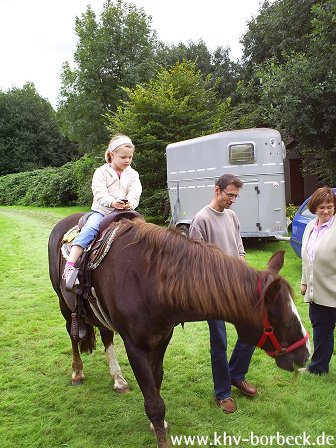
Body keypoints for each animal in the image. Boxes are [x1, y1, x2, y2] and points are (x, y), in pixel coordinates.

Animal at [48, 214, 310, 448]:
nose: (305, 354)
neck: (151, 279)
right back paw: (77, 372)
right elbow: (154, 403)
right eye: (279, 320)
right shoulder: (135, 347)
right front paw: (160, 435)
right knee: (73, 337)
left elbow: (156, 383)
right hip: (65, 305)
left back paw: (118, 379)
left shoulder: (163, 338)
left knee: (106, 337)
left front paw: (157, 426)